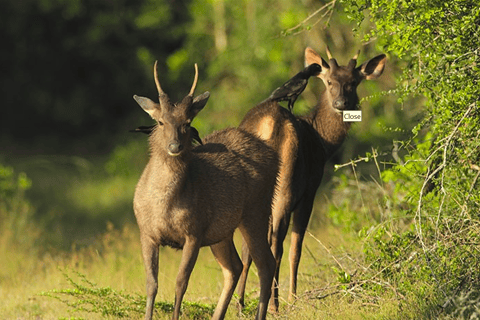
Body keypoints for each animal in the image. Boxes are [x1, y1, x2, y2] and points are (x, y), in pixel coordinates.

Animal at [134, 61, 278, 318]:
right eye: (160, 121)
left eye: (187, 122)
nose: (174, 146)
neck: (163, 207)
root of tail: (274, 156)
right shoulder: (146, 232)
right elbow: (151, 284)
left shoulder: (194, 232)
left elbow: (181, 282)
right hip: (222, 231)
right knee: (235, 267)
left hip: (256, 211)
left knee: (265, 264)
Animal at [236, 46, 386, 312]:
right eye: (329, 82)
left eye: (353, 82)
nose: (341, 103)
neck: (323, 142)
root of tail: (268, 125)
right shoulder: (310, 191)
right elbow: (297, 249)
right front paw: (293, 298)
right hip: (286, 187)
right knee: (277, 244)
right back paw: (275, 304)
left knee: (249, 244)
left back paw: (241, 304)